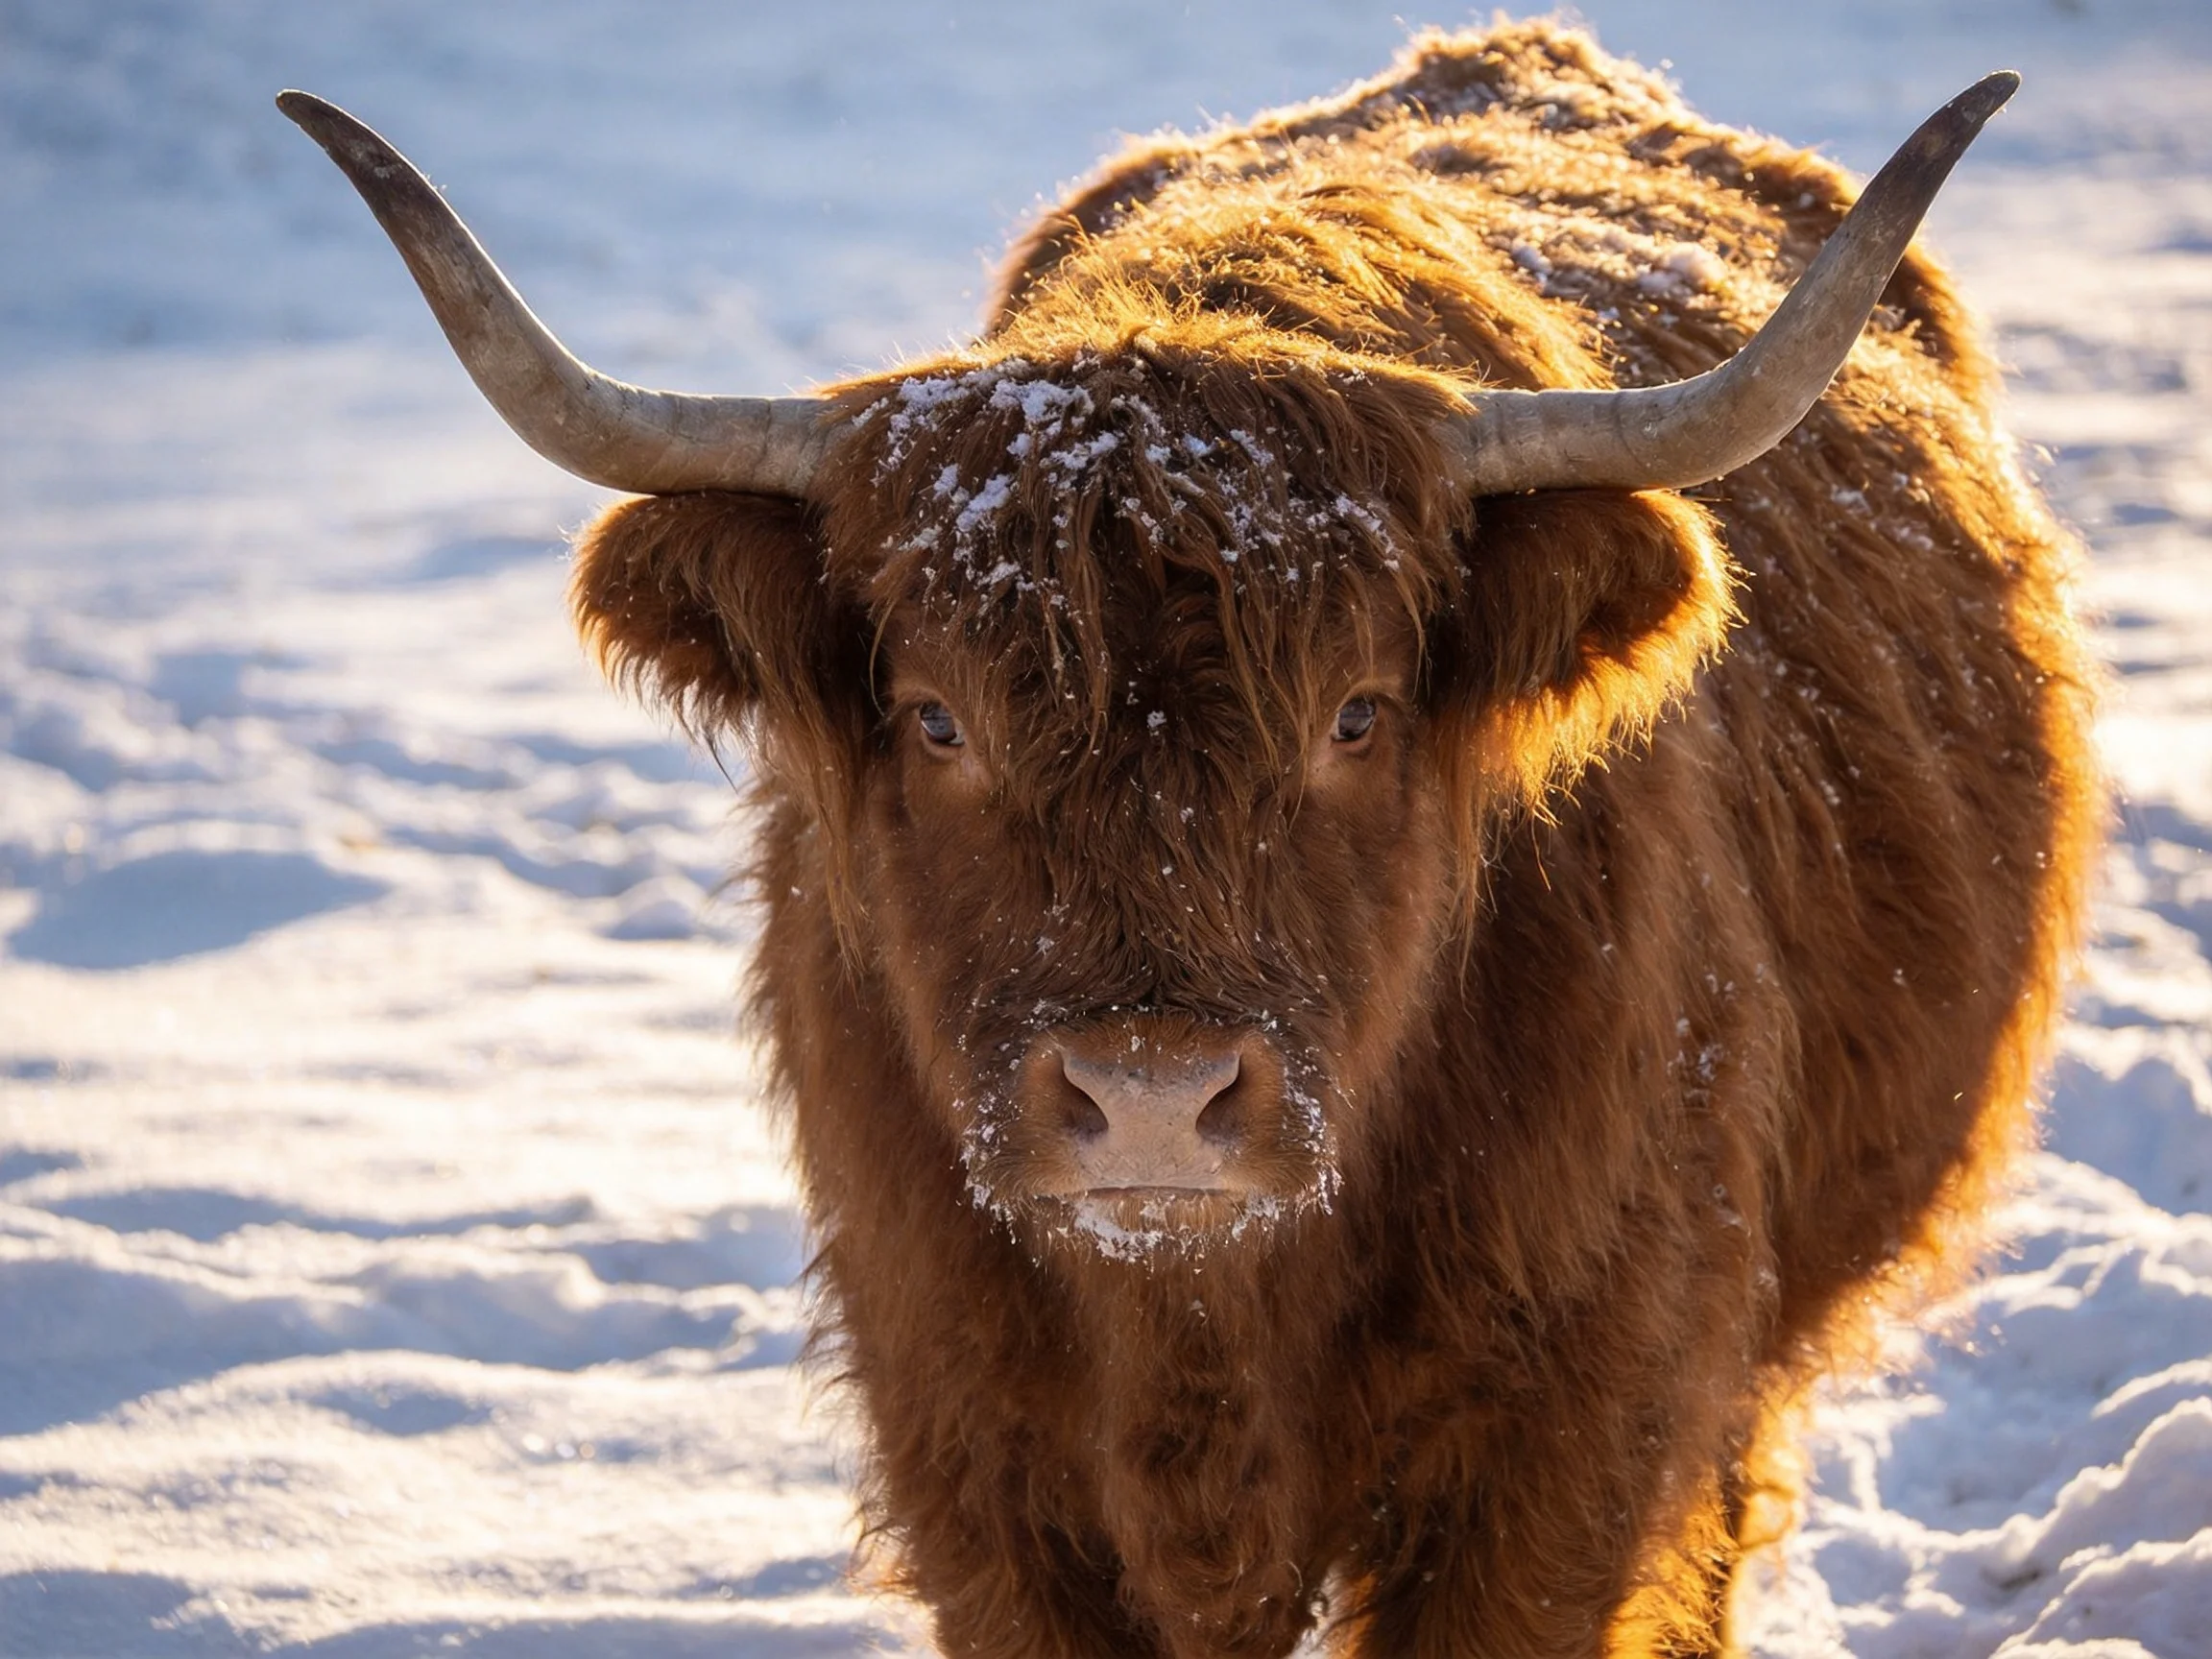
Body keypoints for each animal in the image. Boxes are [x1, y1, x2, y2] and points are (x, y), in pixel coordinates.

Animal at [281, 22, 2100, 1658]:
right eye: (935, 718)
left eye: (1357, 714)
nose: (1149, 1095)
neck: (1201, 1338)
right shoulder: (971, 1449)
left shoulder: (1564, 1432)